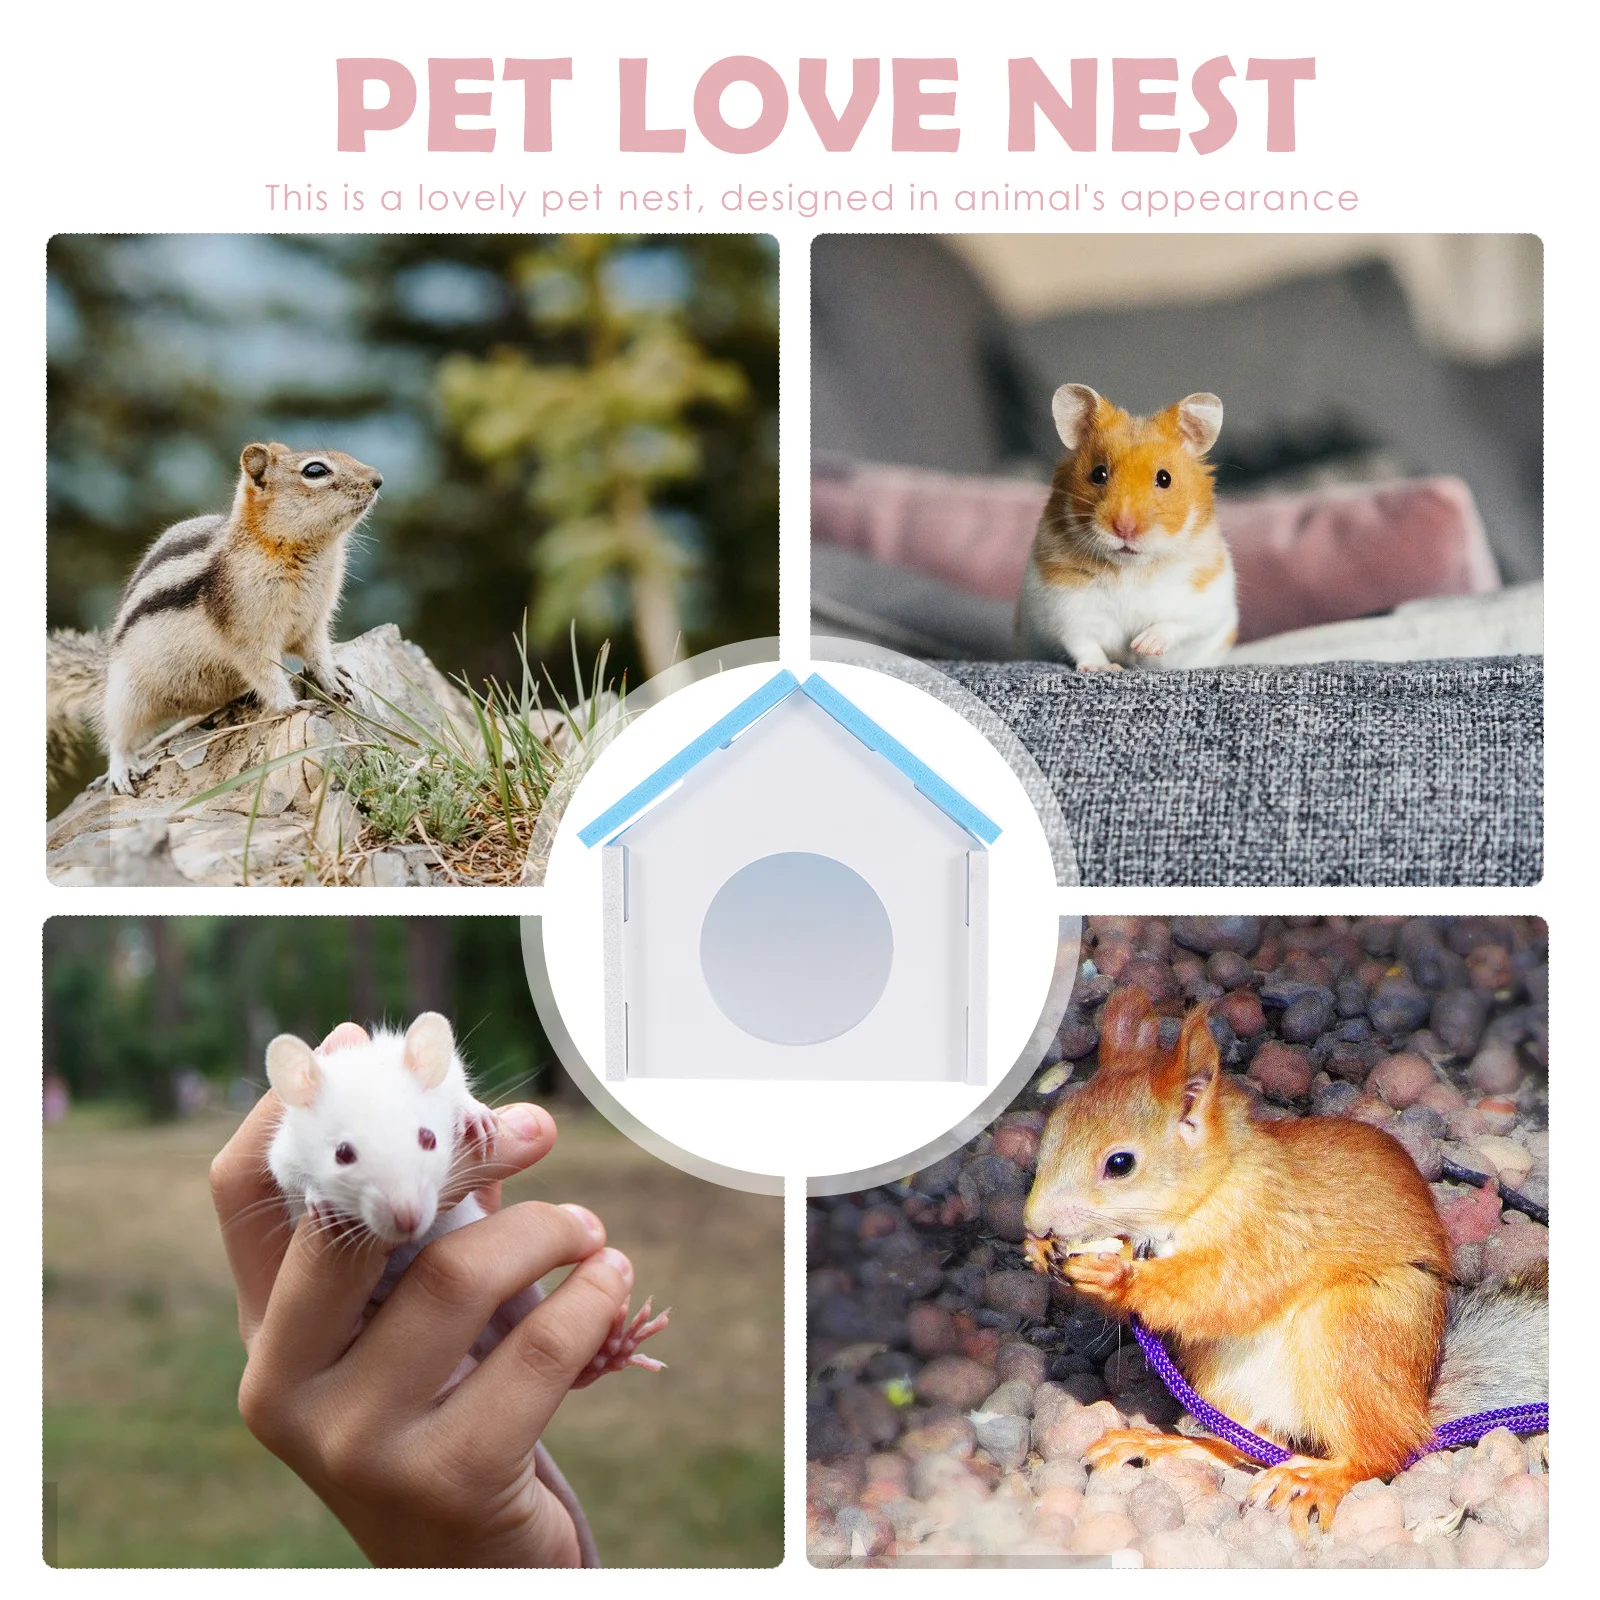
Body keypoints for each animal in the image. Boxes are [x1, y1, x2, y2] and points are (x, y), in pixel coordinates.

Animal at [265, 1012, 669, 1567]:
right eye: (343, 1154)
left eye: (428, 1138)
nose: (409, 1221)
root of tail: (480, 1345)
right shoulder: (282, 1151)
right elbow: (286, 1175)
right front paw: (317, 1202)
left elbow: (461, 1096)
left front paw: (478, 1118)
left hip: (519, 1298)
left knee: (575, 1368)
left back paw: (612, 1350)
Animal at [1014, 385, 1238, 671]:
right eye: (1098, 474)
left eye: (1164, 478)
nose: (1124, 528)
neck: (1130, 568)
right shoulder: (1063, 608)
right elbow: (1082, 642)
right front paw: (1105, 667)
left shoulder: (1204, 602)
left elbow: (1175, 625)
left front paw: (1142, 645)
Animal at [1020, 987, 1546, 1531]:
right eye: (1050, 1134)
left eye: (1120, 1164)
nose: (1035, 1222)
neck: (1213, 1188)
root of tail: (1416, 1407)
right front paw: (1040, 1253)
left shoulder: (1273, 1232)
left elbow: (1223, 1290)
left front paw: (1118, 1276)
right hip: (1221, 1377)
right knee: (1249, 1442)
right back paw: (1164, 1444)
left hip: (1351, 1330)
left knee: (1382, 1452)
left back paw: (1320, 1477)